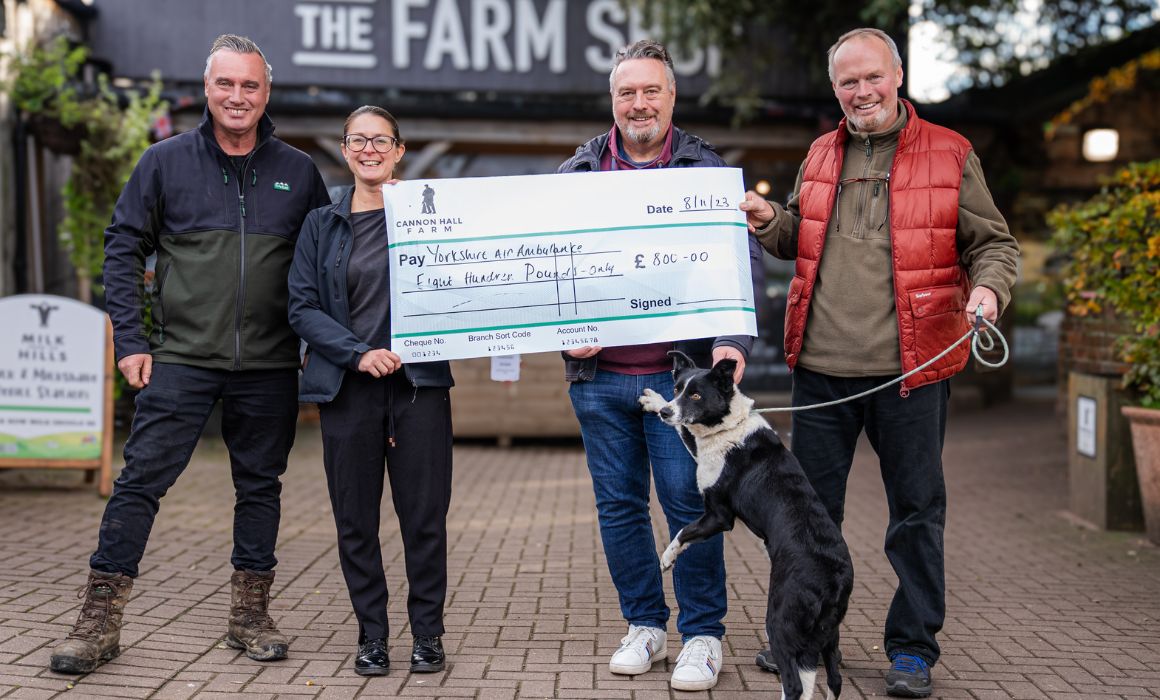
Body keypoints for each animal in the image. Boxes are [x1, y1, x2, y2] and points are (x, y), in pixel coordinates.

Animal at [644, 355, 853, 700]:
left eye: (696, 395)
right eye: (677, 389)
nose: (666, 412)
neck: (731, 423)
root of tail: (834, 578)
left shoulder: (719, 516)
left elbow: (683, 531)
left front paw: (667, 558)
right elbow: (685, 432)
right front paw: (654, 401)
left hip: (781, 619)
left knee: (794, 683)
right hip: (826, 632)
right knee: (830, 679)